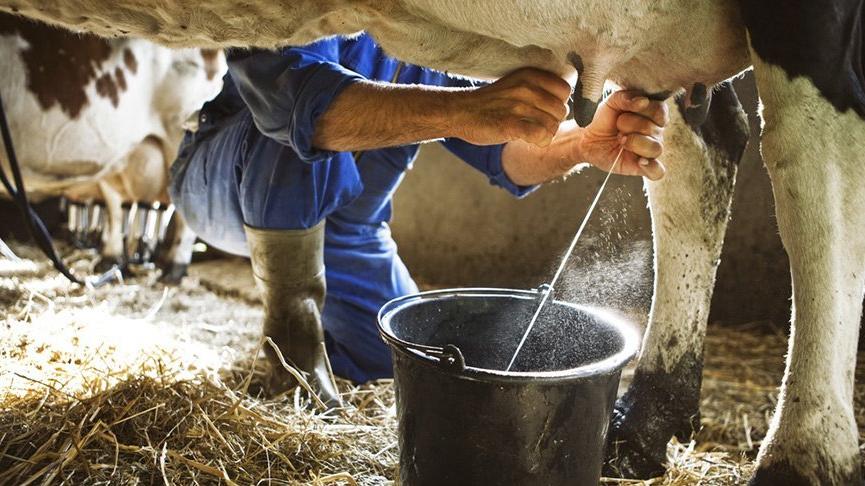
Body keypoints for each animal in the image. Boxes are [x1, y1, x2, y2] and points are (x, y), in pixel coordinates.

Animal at [0, 13, 226, 280]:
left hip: (180, 131)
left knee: (181, 207)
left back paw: (173, 268)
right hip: (121, 158)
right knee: (118, 207)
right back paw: (112, 260)